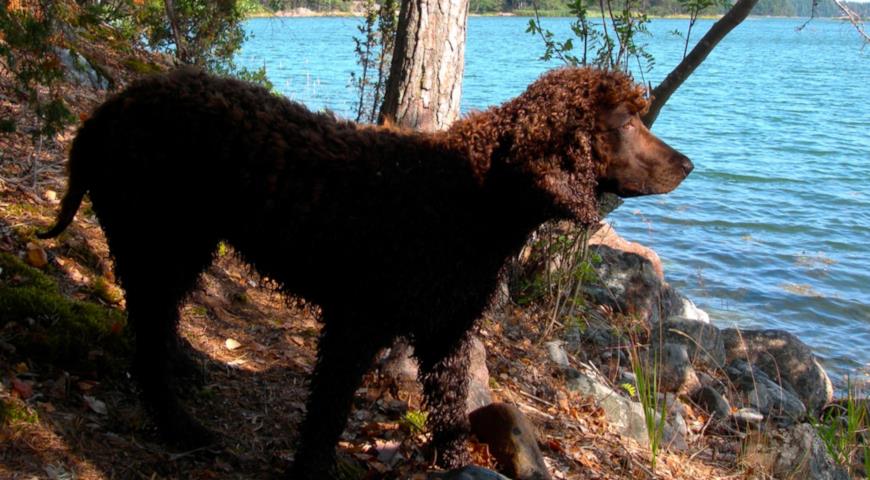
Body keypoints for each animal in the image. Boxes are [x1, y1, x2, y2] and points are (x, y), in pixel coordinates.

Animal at [41, 66, 696, 476]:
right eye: (626, 122)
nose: (689, 164)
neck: (473, 195)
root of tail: (108, 109)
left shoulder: (448, 333)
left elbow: (450, 411)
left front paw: (452, 465)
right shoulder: (355, 324)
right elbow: (327, 414)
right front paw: (310, 470)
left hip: (174, 245)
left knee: (153, 324)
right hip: (159, 238)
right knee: (148, 338)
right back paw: (182, 426)